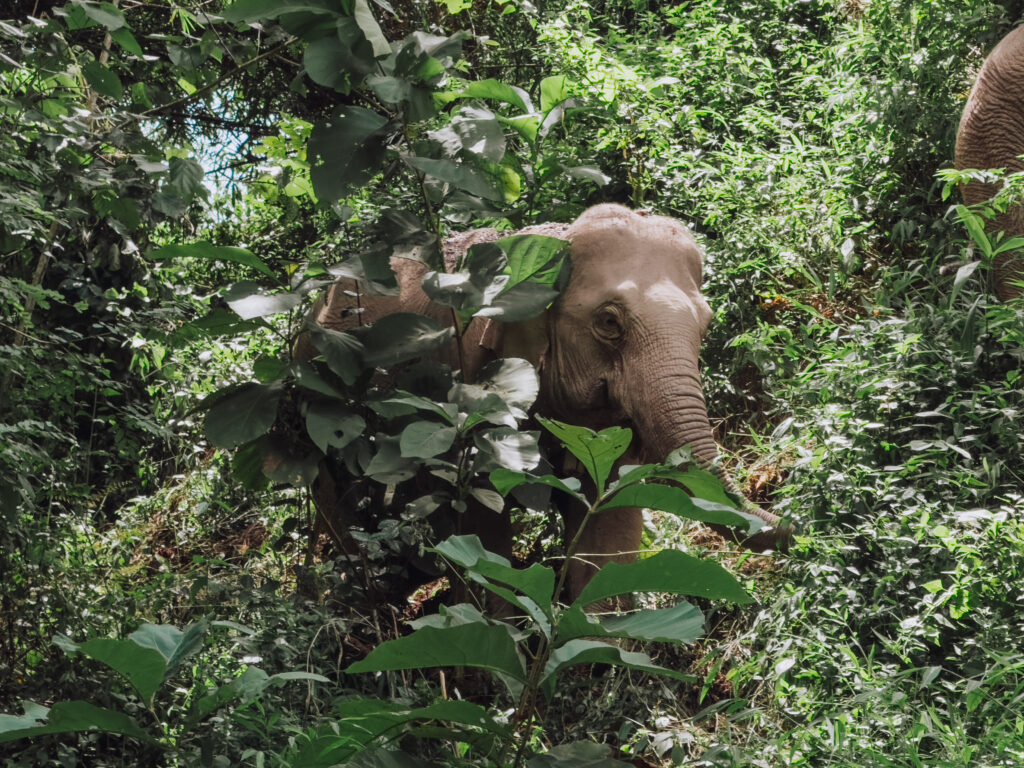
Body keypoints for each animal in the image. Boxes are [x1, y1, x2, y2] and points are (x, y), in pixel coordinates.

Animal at [299, 204, 790, 597]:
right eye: (609, 322)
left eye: (706, 324)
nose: (798, 527)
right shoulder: (464, 386)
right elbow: (481, 527)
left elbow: (607, 523)